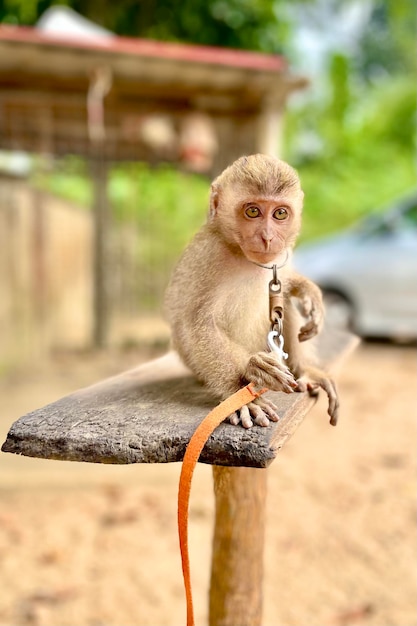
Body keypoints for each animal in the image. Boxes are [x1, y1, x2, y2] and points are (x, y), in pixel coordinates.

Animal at [163, 154, 338, 426]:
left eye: (280, 213)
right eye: (253, 211)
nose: (267, 237)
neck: (237, 250)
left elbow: (285, 284)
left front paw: (306, 289)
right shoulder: (208, 255)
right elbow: (198, 323)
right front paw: (242, 388)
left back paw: (305, 370)